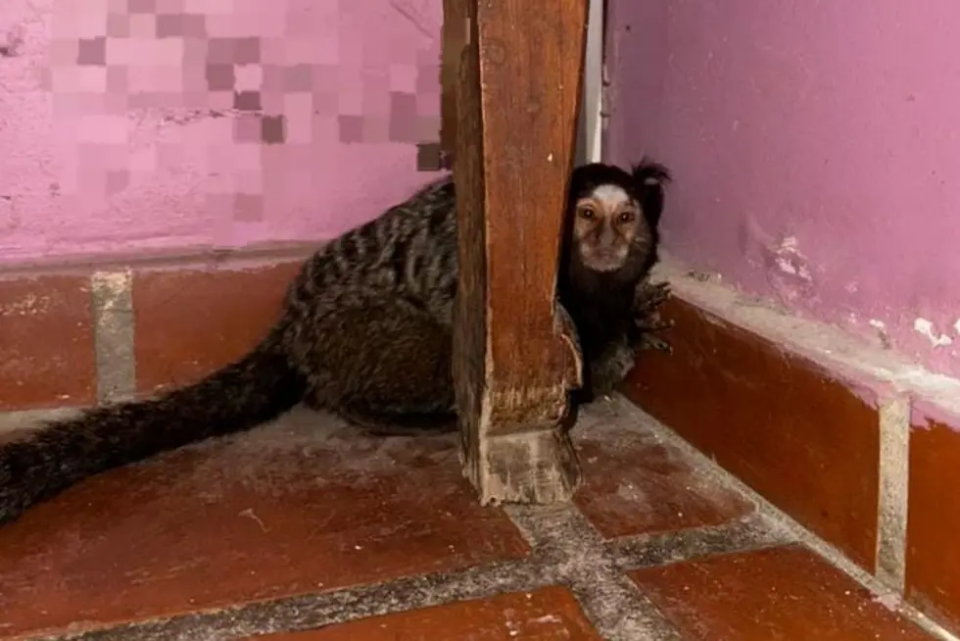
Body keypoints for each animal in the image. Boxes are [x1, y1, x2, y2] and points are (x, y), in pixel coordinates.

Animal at [0, 160, 672, 526]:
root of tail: (292, 329)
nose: (607, 242)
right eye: (585, 216)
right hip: (359, 335)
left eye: (626, 218)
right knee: (430, 357)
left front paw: (638, 319)